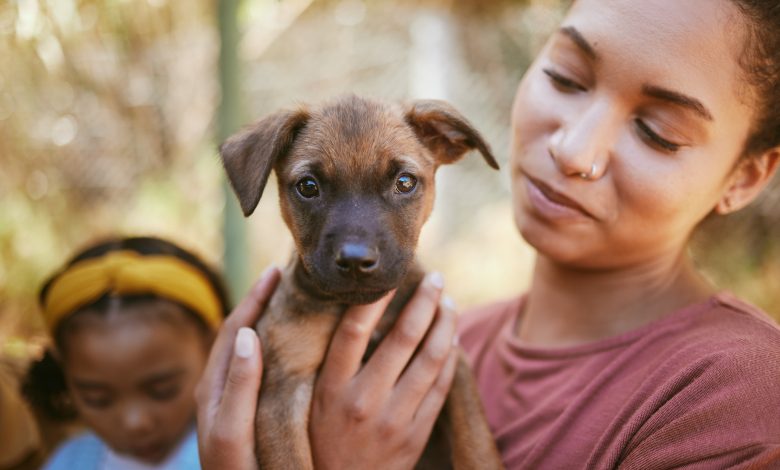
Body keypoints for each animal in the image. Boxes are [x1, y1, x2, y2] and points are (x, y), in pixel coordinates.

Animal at [218, 93, 506, 468]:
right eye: (308, 187)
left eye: (405, 182)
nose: (356, 261)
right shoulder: (282, 391)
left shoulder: (452, 362)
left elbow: (476, 443)